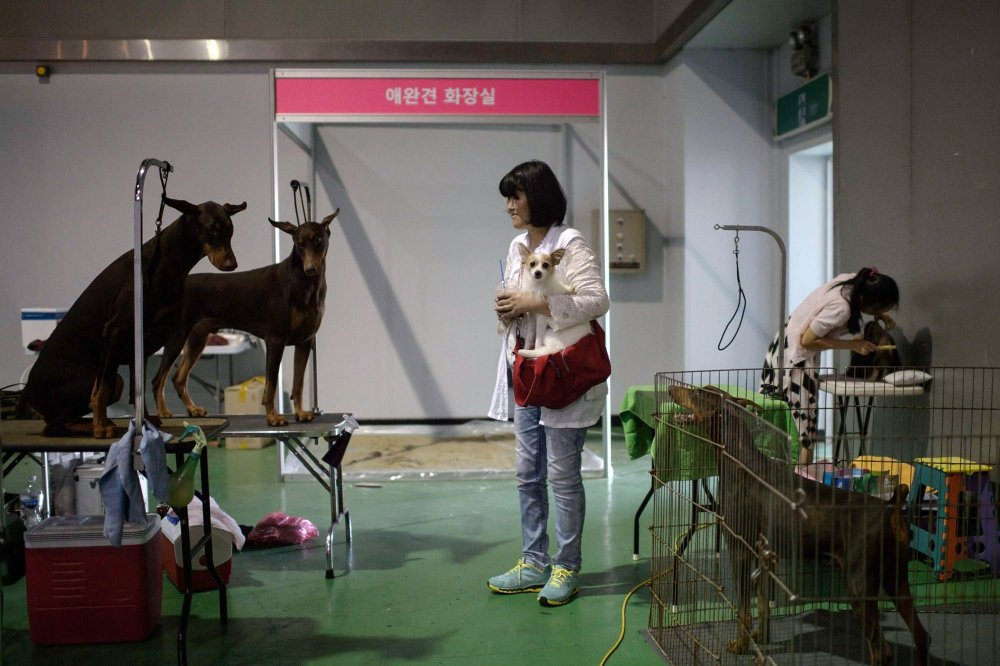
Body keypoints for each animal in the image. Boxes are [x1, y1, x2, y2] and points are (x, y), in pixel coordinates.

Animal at [22, 197, 244, 436]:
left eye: (230, 230)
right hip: (97, 379)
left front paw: (145, 420)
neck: (166, 262)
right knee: (55, 424)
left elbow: (139, 387)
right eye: (211, 230)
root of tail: (28, 393)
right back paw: (95, 425)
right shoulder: (115, 331)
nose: (232, 265)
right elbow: (102, 388)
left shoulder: (142, 341)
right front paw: (100, 426)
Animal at [148, 209, 336, 426]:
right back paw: (164, 412)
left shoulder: (305, 342)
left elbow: (299, 384)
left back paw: (193, 409)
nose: (311, 269)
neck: (304, 283)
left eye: (318, 240)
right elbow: (271, 385)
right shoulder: (276, 341)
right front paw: (273, 417)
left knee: (178, 379)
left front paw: (300, 413)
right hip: (177, 337)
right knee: (158, 379)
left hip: (197, 338)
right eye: (299, 244)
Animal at [672, 382, 928, 664]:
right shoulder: (765, 556)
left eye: (697, 393)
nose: (671, 388)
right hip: (895, 577)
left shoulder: (740, 549)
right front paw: (760, 640)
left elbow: (743, 609)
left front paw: (741, 644)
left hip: (859, 583)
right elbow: (763, 603)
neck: (739, 462)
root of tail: (890, 507)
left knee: (881, 650)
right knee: (920, 635)